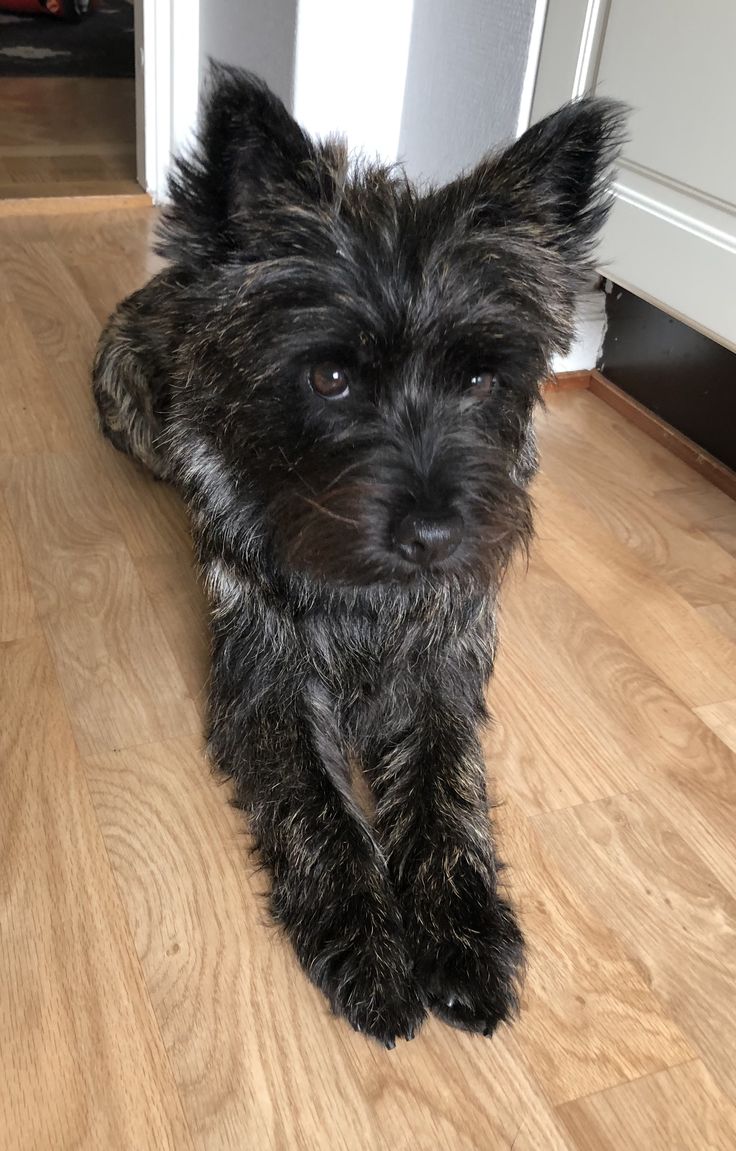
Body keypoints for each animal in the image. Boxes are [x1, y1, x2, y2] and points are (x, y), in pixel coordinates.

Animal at [90, 67, 621, 1049]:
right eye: (329, 377)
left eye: (482, 378)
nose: (435, 537)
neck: (370, 597)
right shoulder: (268, 684)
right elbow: (319, 811)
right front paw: (368, 940)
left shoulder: (444, 673)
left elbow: (446, 787)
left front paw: (460, 932)